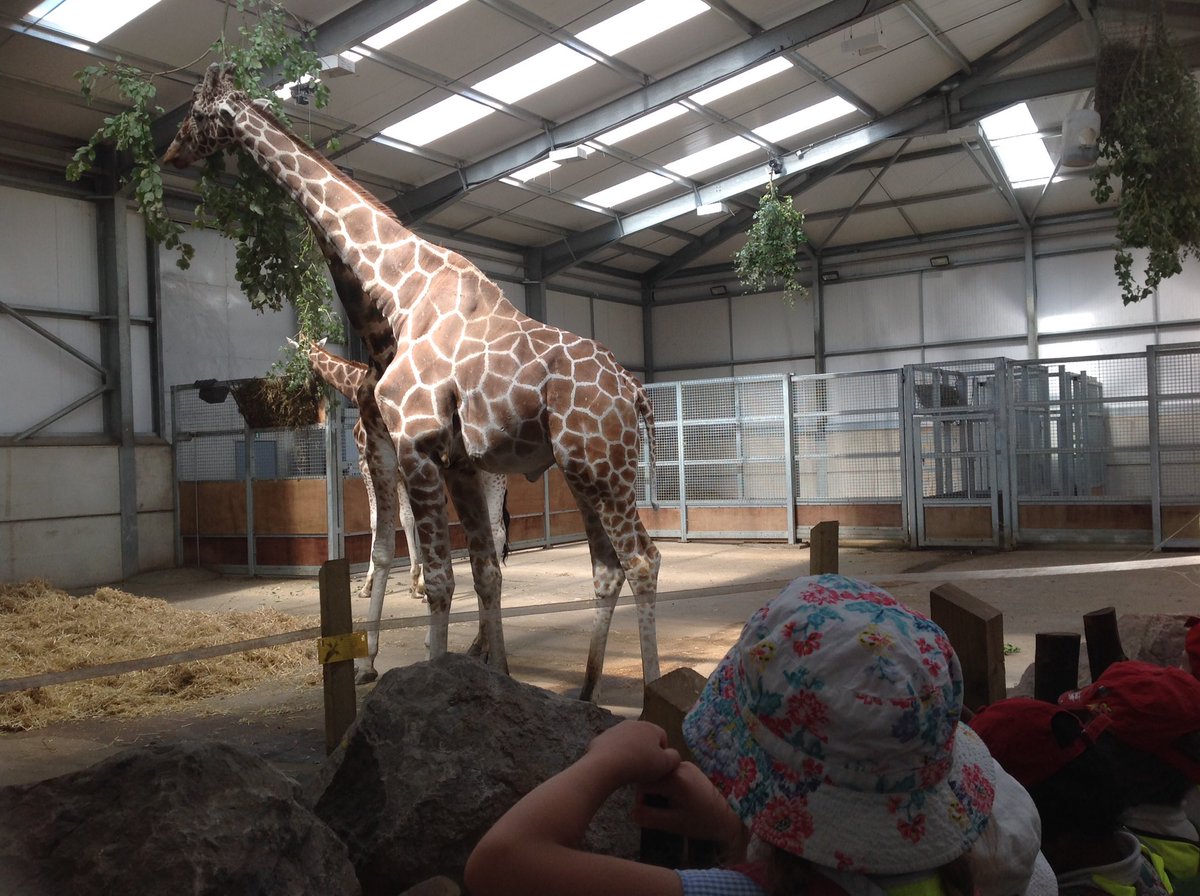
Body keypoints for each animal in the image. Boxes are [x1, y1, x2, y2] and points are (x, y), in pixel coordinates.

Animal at [301, 337, 511, 682]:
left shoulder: (372, 463)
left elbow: (380, 531)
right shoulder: (403, 472)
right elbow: (408, 522)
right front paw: (417, 585)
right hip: (489, 472)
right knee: (493, 535)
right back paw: (481, 647)